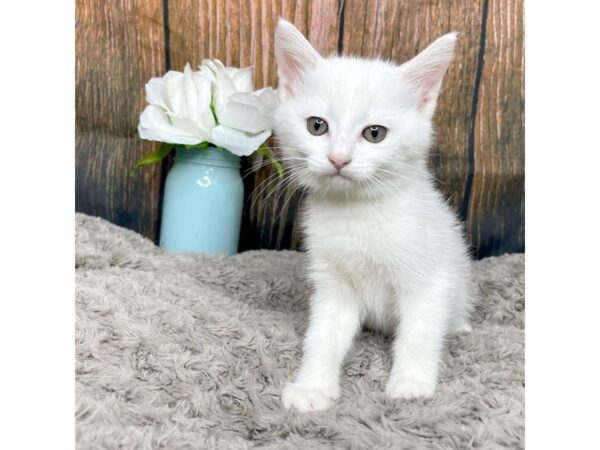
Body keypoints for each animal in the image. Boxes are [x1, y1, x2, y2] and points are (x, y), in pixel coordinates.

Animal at [272, 19, 474, 414]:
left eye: (375, 133)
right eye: (316, 126)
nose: (339, 159)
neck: (358, 211)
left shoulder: (429, 280)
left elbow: (420, 332)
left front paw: (411, 384)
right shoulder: (333, 286)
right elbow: (322, 335)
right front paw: (312, 386)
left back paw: (457, 327)